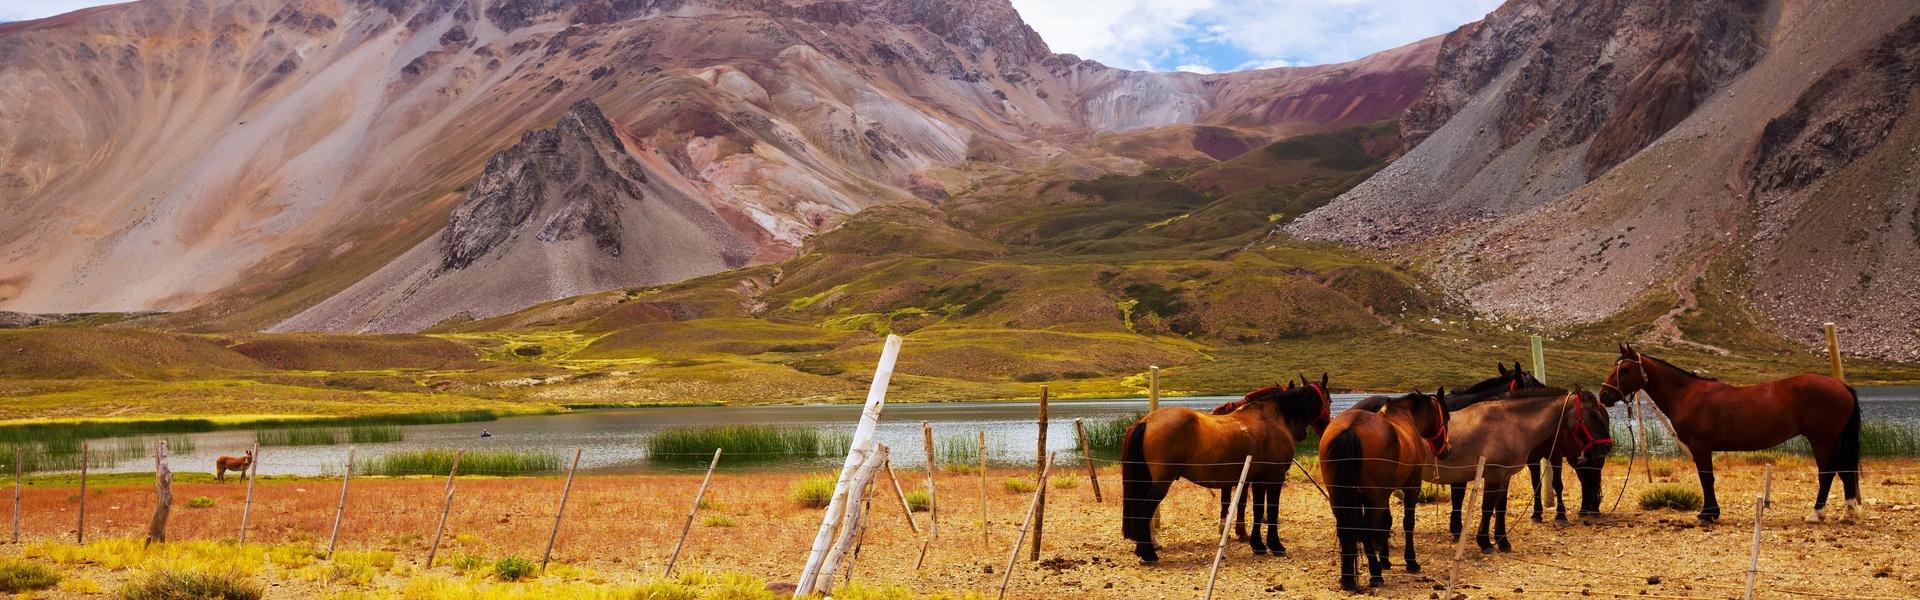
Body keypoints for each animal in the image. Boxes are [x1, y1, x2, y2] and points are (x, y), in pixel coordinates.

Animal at [1121, 375, 1333, 562]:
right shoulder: (1275, 476)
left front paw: (1257, 545)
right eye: (1329, 400)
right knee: (1143, 511)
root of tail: (1146, 421)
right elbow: (1272, 510)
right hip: (1161, 483)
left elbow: (1257, 510)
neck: (1272, 418)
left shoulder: (1257, 478)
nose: (1324, 427)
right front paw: (1275, 545)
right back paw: (1148, 554)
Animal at [1320, 390, 1451, 590]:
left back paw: (1348, 578)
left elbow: (1385, 523)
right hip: (1375, 498)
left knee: (1344, 528)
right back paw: (1375, 574)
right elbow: (1408, 523)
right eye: (1447, 416)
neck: (1405, 417)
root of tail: (1352, 427)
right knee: (1365, 528)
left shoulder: (1385, 493)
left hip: (1340, 497)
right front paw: (1411, 562)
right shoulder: (1411, 487)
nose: (1447, 450)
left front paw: (1385, 560)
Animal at [1428, 388, 1600, 552]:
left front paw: (1503, 542)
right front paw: (1485, 543)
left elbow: (1500, 508)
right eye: (1594, 414)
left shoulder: (1504, 476)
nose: (1604, 445)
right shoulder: (1493, 475)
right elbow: (1486, 507)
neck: (1509, 423)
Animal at [1527, 387, 1614, 522]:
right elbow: (1536, 484)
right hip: (1574, 458)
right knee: (1584, 480)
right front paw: (1536, 513)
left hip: (1597, 457)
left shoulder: (1555, 456)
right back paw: (1584, 509)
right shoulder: (1532, 459)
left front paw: (1560, 514)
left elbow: (1557, 484)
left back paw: (1594, 509)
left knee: (1594, 477)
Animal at [1600, 344, 1860, 523]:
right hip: (1833, 441)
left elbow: (1706, 477)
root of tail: (1841, 385)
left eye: (1624, 369)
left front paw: (1708, 514)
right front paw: (1711, 512)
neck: (1687, 394)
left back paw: (1816, 514)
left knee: (1827, 473)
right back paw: (1848, 512)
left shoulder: (1700, 445)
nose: (1603, 395)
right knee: (1844, 472)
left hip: (1821, 441)